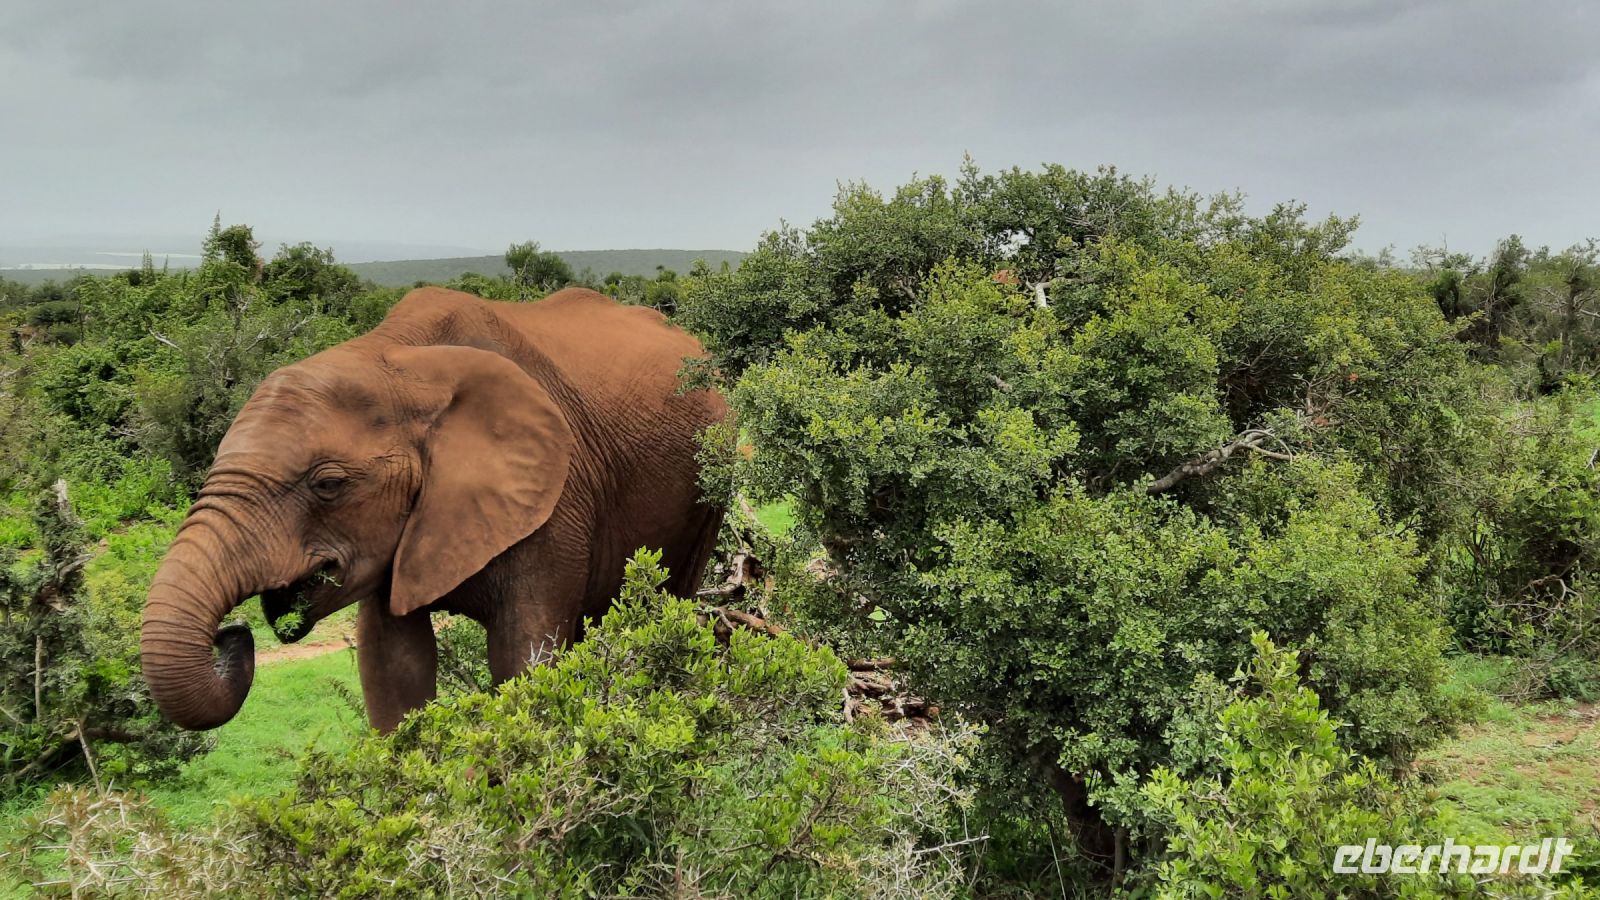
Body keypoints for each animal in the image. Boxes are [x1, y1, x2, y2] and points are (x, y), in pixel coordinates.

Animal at [139, 286, 728, 733]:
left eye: (327, 484)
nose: (231, 634)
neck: (396, 362)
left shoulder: (557, 498)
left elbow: (524, 662)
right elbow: (393, 670)